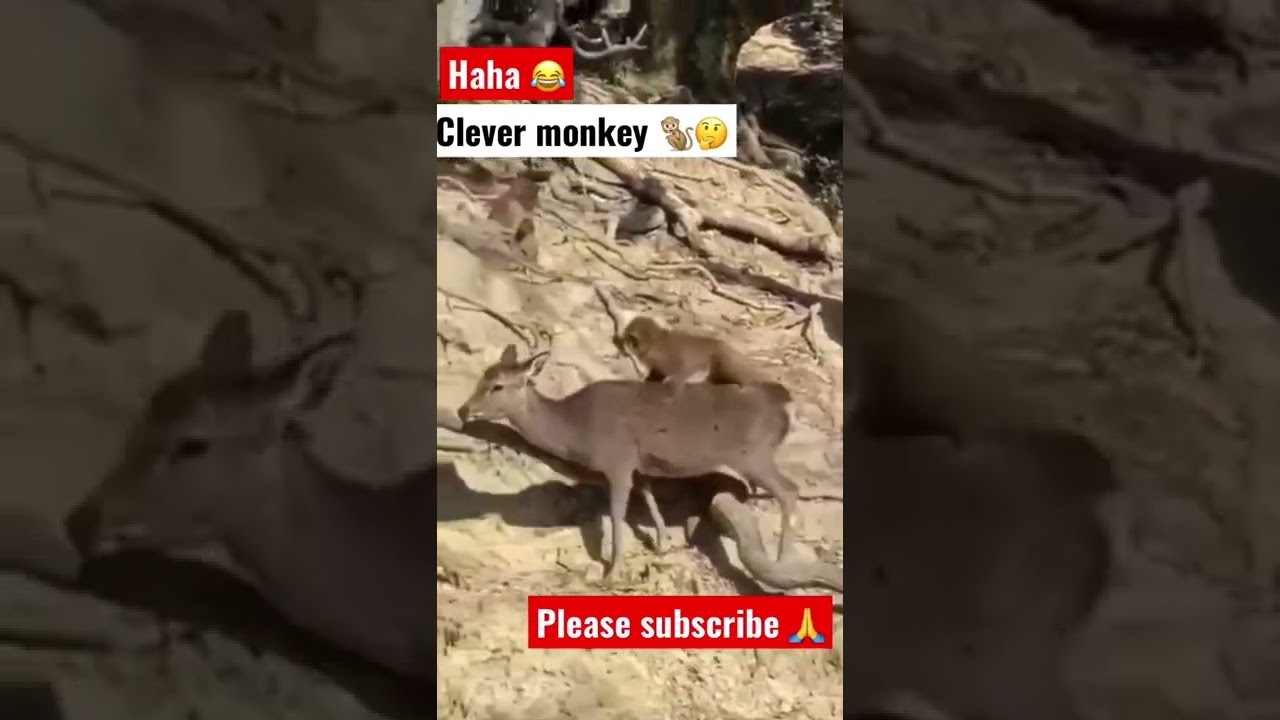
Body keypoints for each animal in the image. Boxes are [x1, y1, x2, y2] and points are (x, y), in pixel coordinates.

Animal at [456, 344, 800, 579]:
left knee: (790, 489)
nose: (463, 410)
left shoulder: (617, 460)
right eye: (482, 375)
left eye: (497, 386)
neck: (577, 428)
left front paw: (613, 571)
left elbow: (617, 514)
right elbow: (647, 493)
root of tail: (784, 413)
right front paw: (661, 543)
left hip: (753, 455)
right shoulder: (640, 462)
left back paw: (783, 560)